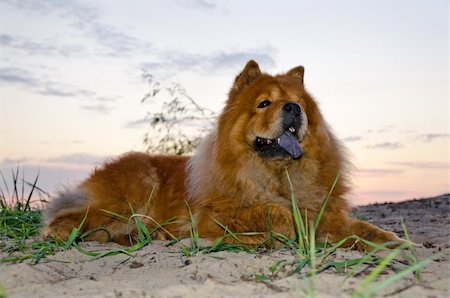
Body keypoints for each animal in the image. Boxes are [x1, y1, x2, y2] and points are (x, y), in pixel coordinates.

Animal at [40, 59, 402, 250]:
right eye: (264, 103)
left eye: (299, 103)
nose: (293, 108)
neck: (276, 176)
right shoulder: (215, 216)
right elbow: (276, 214)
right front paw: (282, 232)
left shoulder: (324, 210)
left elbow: (362, 228)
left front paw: (395, 243)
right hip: (132, 194)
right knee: (63, 219)